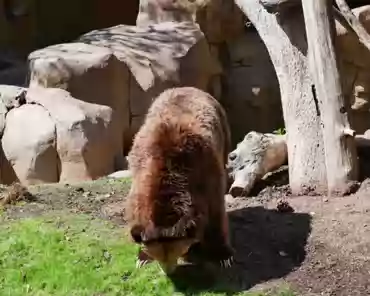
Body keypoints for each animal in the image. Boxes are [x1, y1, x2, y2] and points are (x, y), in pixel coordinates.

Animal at [125, 86, 233, 274]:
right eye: (158, 255)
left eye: (176, 251)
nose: (168, 271)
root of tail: (188, 87)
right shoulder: (139, 174)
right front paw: (142, 258)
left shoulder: (206, 172)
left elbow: (216, 213)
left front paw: (223, 256)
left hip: (223, 133)